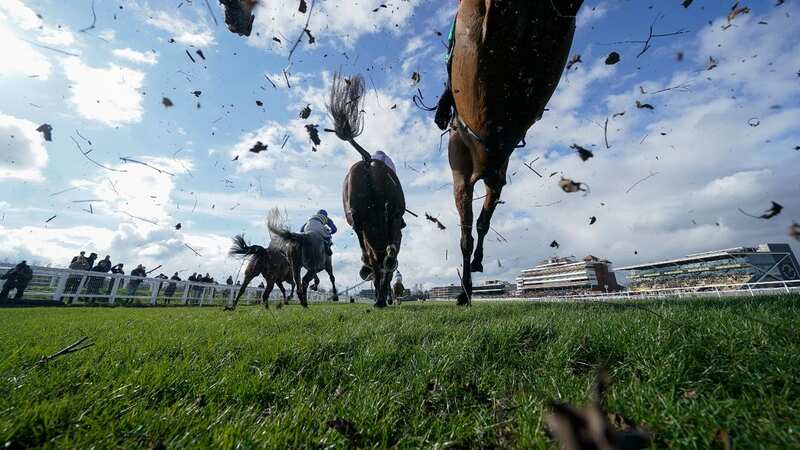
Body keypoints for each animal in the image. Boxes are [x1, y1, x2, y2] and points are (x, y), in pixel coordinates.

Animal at [328, 72, 406, 308]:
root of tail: (368, 159)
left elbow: (380, 271)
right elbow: (383, 275)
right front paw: (382, 297)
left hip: (356, 209)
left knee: (361, 231)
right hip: (394, 211)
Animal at [444, 0, 580, 306]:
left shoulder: (470, 177)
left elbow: (472, 230)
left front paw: (468, 283)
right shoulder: (490, 178)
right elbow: (479, 224)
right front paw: (472, 275)